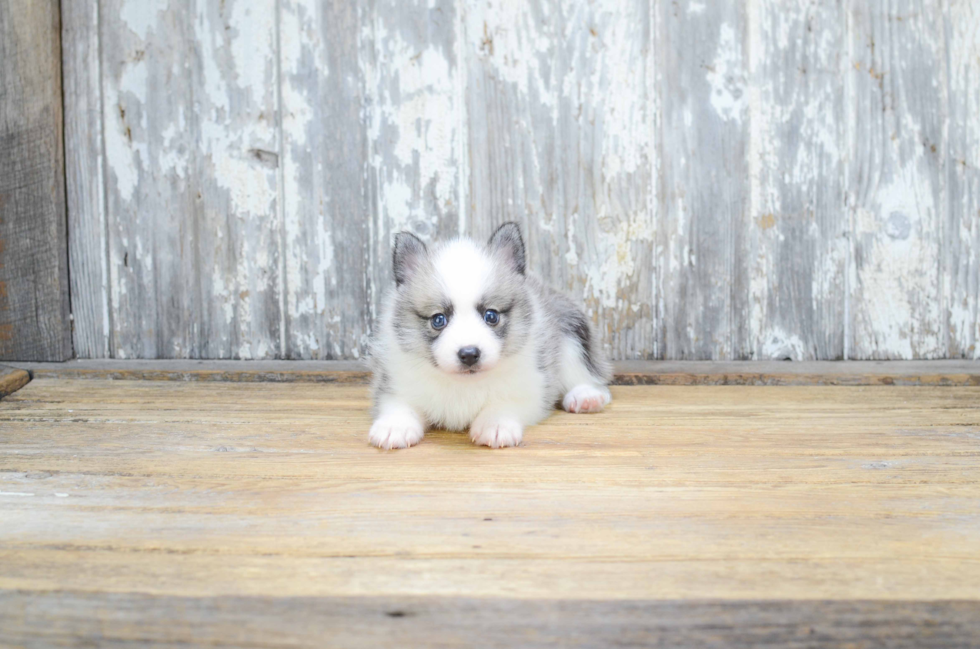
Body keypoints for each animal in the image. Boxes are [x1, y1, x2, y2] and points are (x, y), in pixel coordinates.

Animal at [370, 220, 612, 448]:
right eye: (438, 320)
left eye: (491, 316)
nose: (469, 354)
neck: (464, 385)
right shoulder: (396, 385)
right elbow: (399, 405)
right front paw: (395, 426)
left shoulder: (531, 387)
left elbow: (503, 403)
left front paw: (495, 424)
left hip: (572, 331)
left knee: (583, 374)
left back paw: (586, 397)